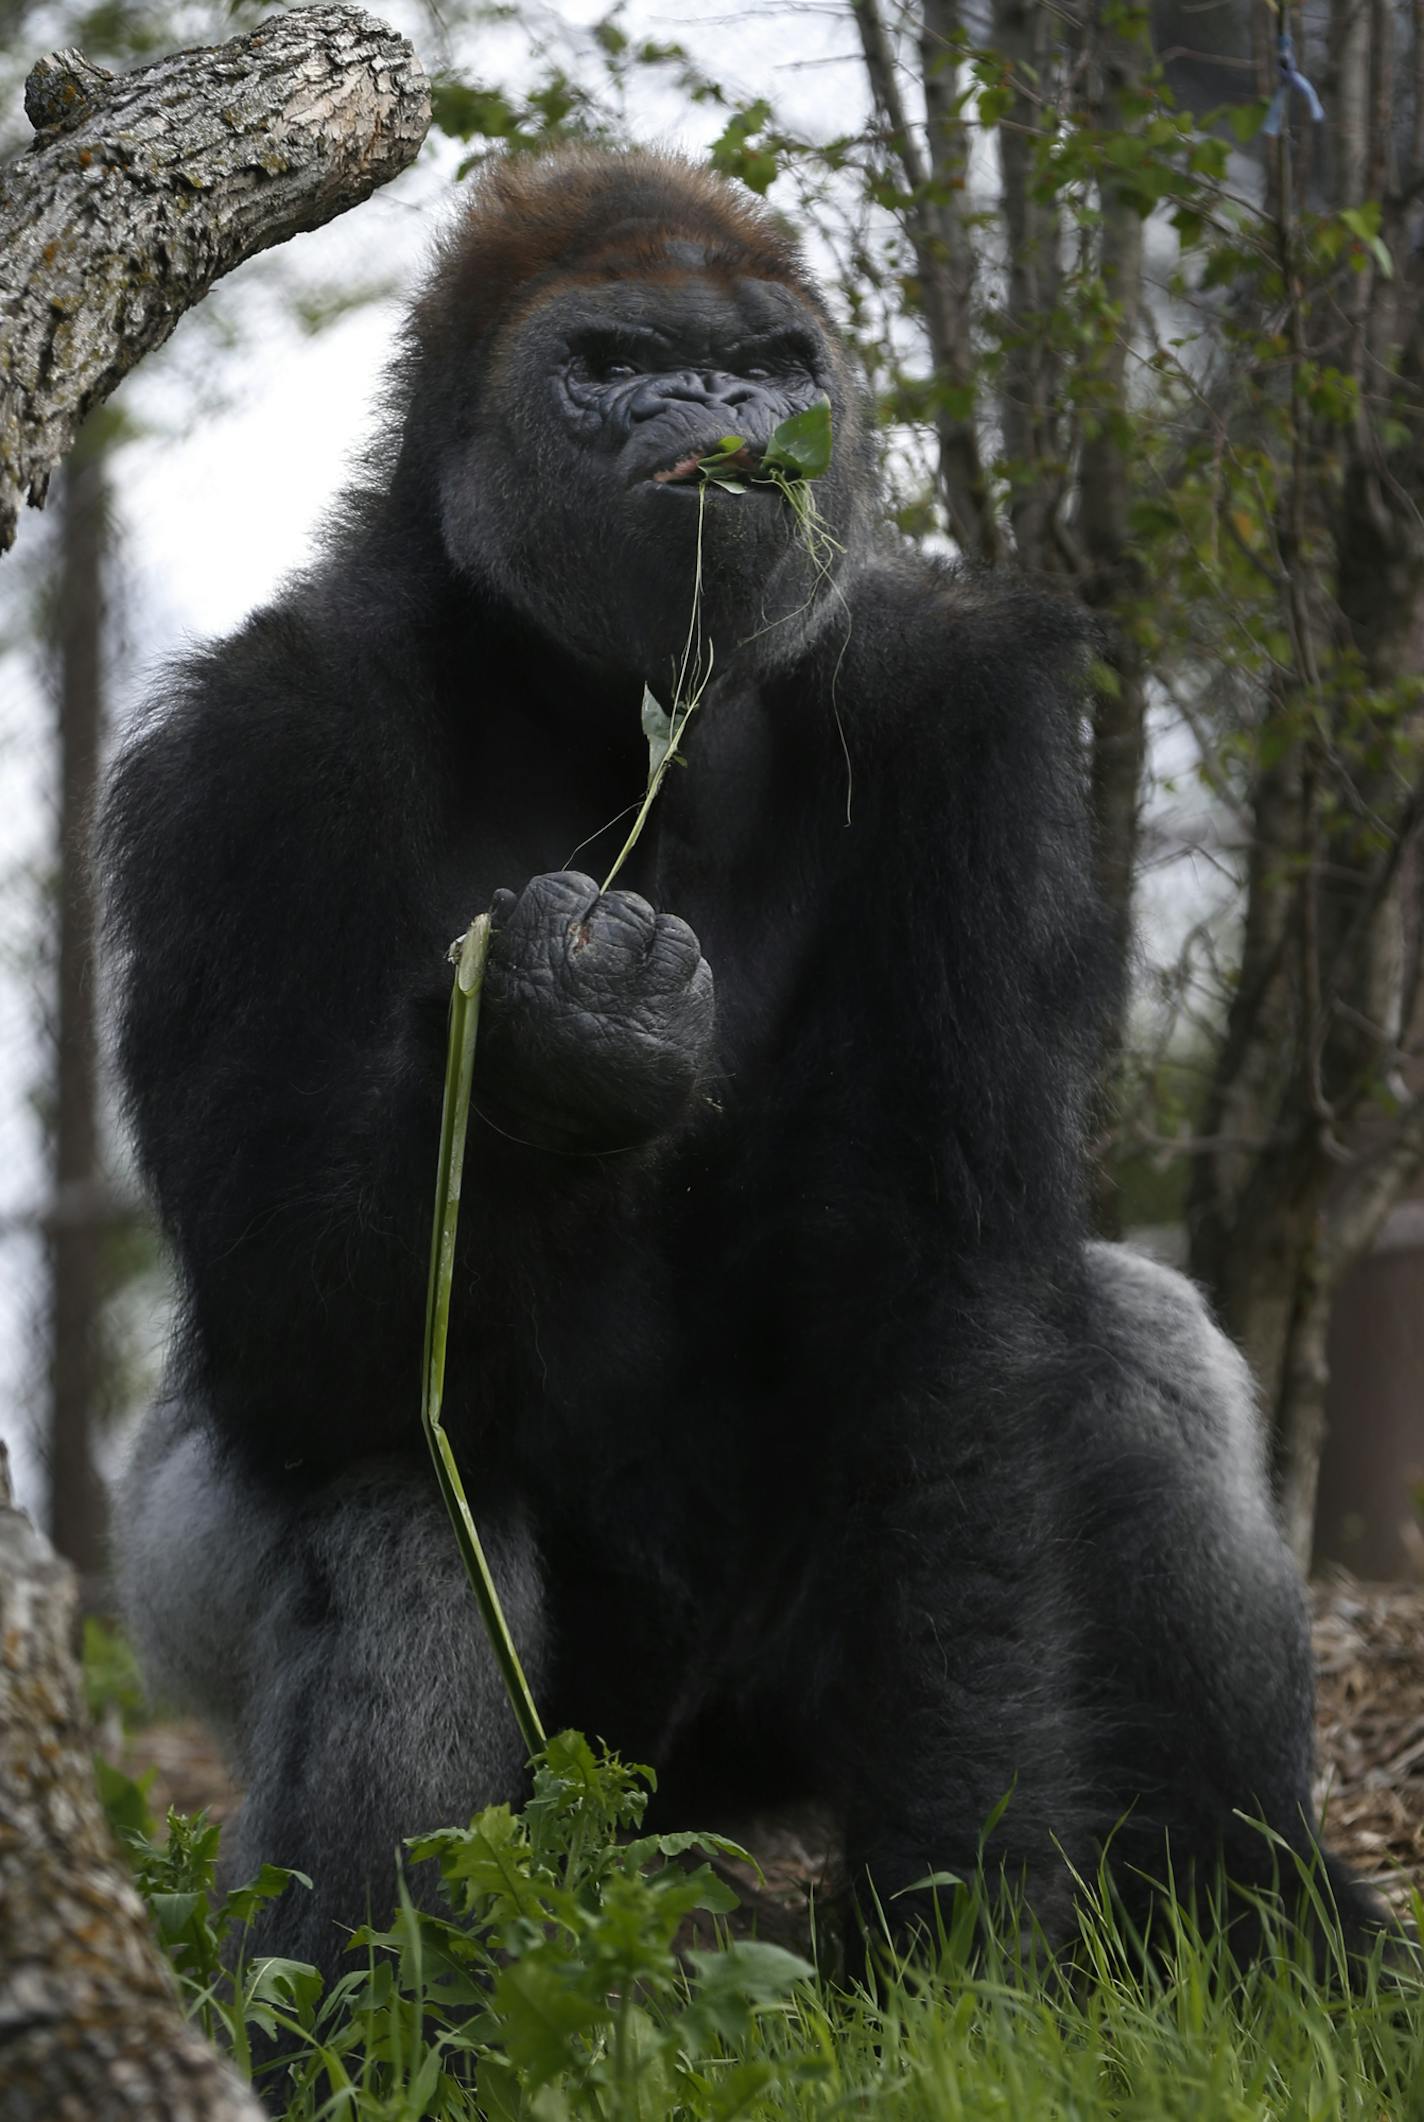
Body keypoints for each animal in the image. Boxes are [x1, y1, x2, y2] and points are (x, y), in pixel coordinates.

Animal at [102, 145, 1383, 1969]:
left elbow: (960, 1321)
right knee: (393, 1487)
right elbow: (290, 1324)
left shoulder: (967, 710)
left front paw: (957, 1925)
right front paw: (555, 1053)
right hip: (525, 1750)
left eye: (770, 363)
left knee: (1125, 1354)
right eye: (613, 359)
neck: (602, 709)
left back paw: (1269, 1915)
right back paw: (359, 1997)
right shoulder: (253, 750)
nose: (711, 404)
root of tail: (665, 1815)